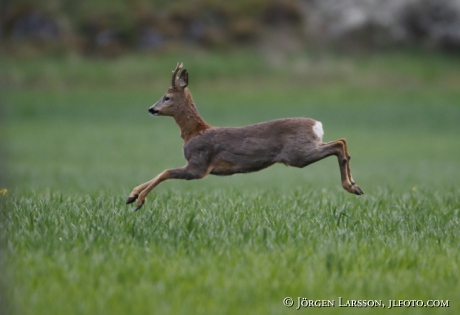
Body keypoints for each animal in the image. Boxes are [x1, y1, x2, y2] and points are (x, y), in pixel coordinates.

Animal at [126, 63, 362, 211]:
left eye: (167, 97)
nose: (151, 109)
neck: (194, 132)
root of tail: (316, 125)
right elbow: (161, 173)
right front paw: (132, 195)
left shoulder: (199, 165)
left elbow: (165, 171)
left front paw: (139, 201)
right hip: (304, 149)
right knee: (342, 141)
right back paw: (355, 185)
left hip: (297, 154)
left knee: (338, 144)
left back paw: (351, 186)